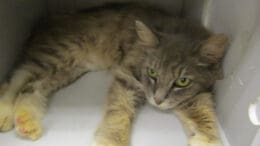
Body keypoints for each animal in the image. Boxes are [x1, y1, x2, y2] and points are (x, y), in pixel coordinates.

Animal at [0, 2, 228, 145]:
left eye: (182, 81)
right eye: (152, 72)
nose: (157, 101)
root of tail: (46, 20)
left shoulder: (198, 94)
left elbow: (206, 116)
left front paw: (207, 140)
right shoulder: (127, 78)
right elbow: (119, 114)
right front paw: (111, 141)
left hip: (65, 71)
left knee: (31, 89)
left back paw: (26, 122)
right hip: (54, 57)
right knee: (15, 79)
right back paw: (5, 113)